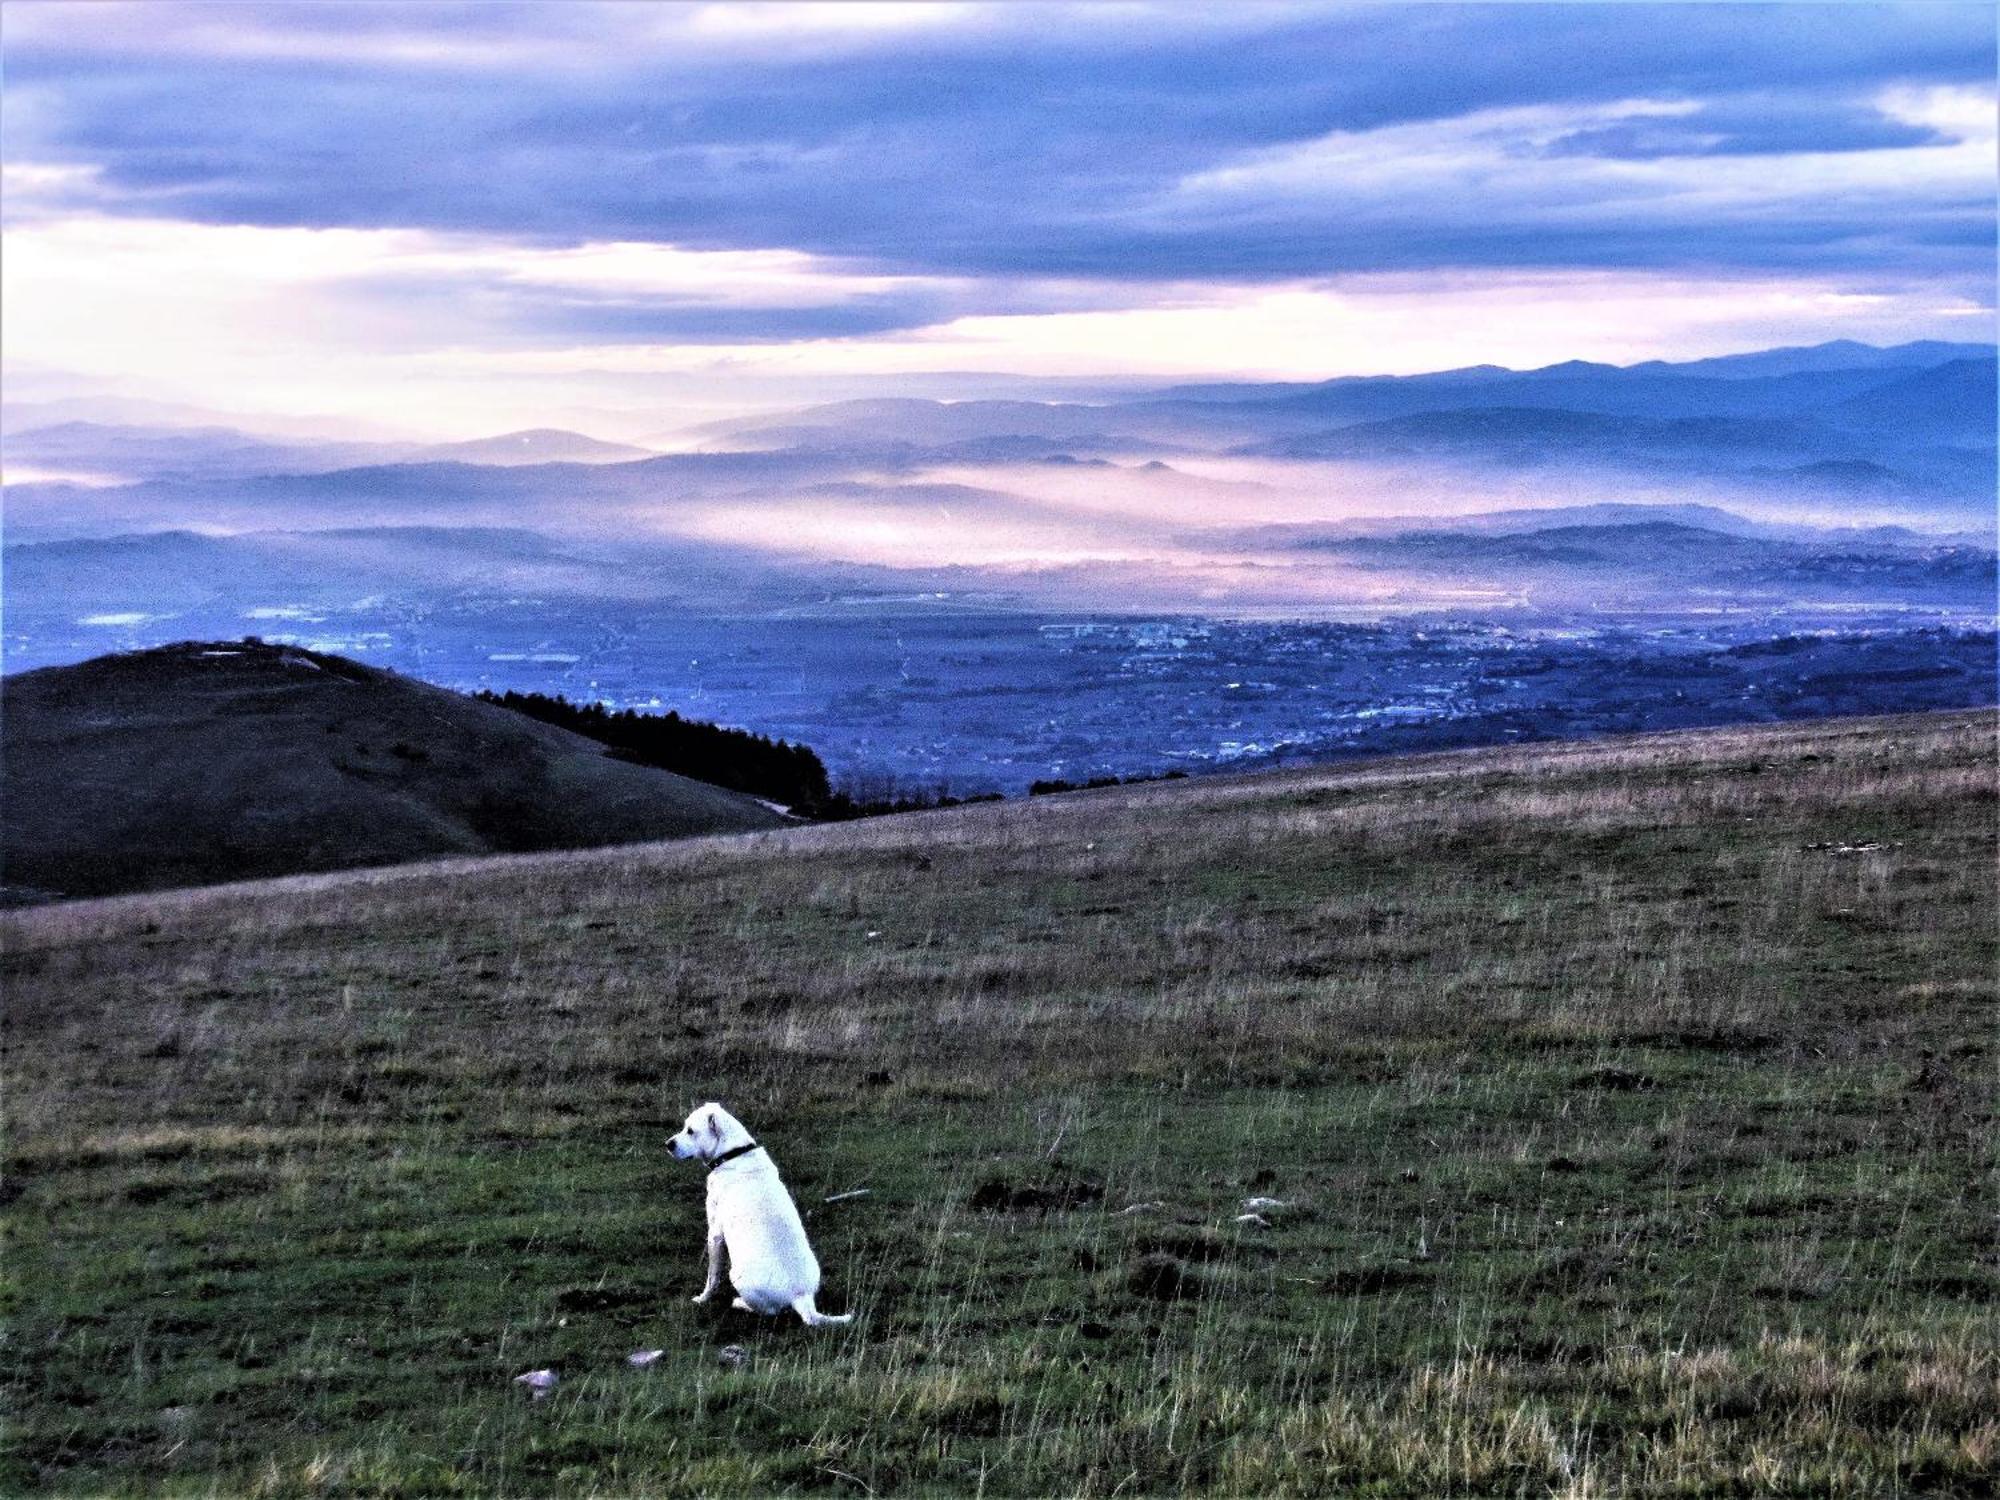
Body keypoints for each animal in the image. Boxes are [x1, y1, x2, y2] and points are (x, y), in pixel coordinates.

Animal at [672, 1104, 852, 1328]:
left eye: (690, 1131)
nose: (668, 1144)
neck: (733, 1153)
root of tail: (802, 1298)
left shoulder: (714, 1234)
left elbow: (712, 1278)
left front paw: (702, 1299)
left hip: (737, 1276)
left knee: (769, 1312)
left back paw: (740, 1303)